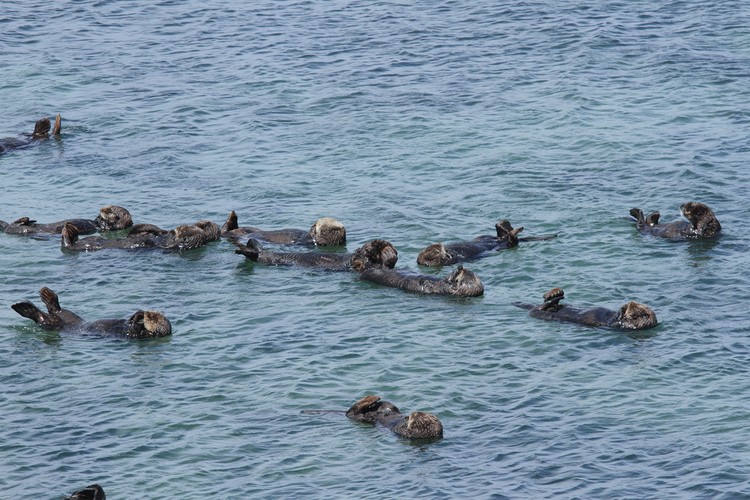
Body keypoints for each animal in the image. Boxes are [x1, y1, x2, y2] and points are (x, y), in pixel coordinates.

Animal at [12, 287, 171, 339]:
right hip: (70, 315)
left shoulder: (141, 335)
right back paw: (46, 294)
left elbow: (134, 329)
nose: (147, 313)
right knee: (56, 309)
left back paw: (24, 307)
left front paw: (138, 319)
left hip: (56, 324)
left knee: (43, 318)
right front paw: (137, 314)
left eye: (152, 317)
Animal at [513, 287, 657, 330]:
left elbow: (618, 320)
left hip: (537, 312)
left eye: (637, 307)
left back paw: (554, 297)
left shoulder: (619, 324)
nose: (631, 302)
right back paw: (555, 293)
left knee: (541, 307)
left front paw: (623, 310)